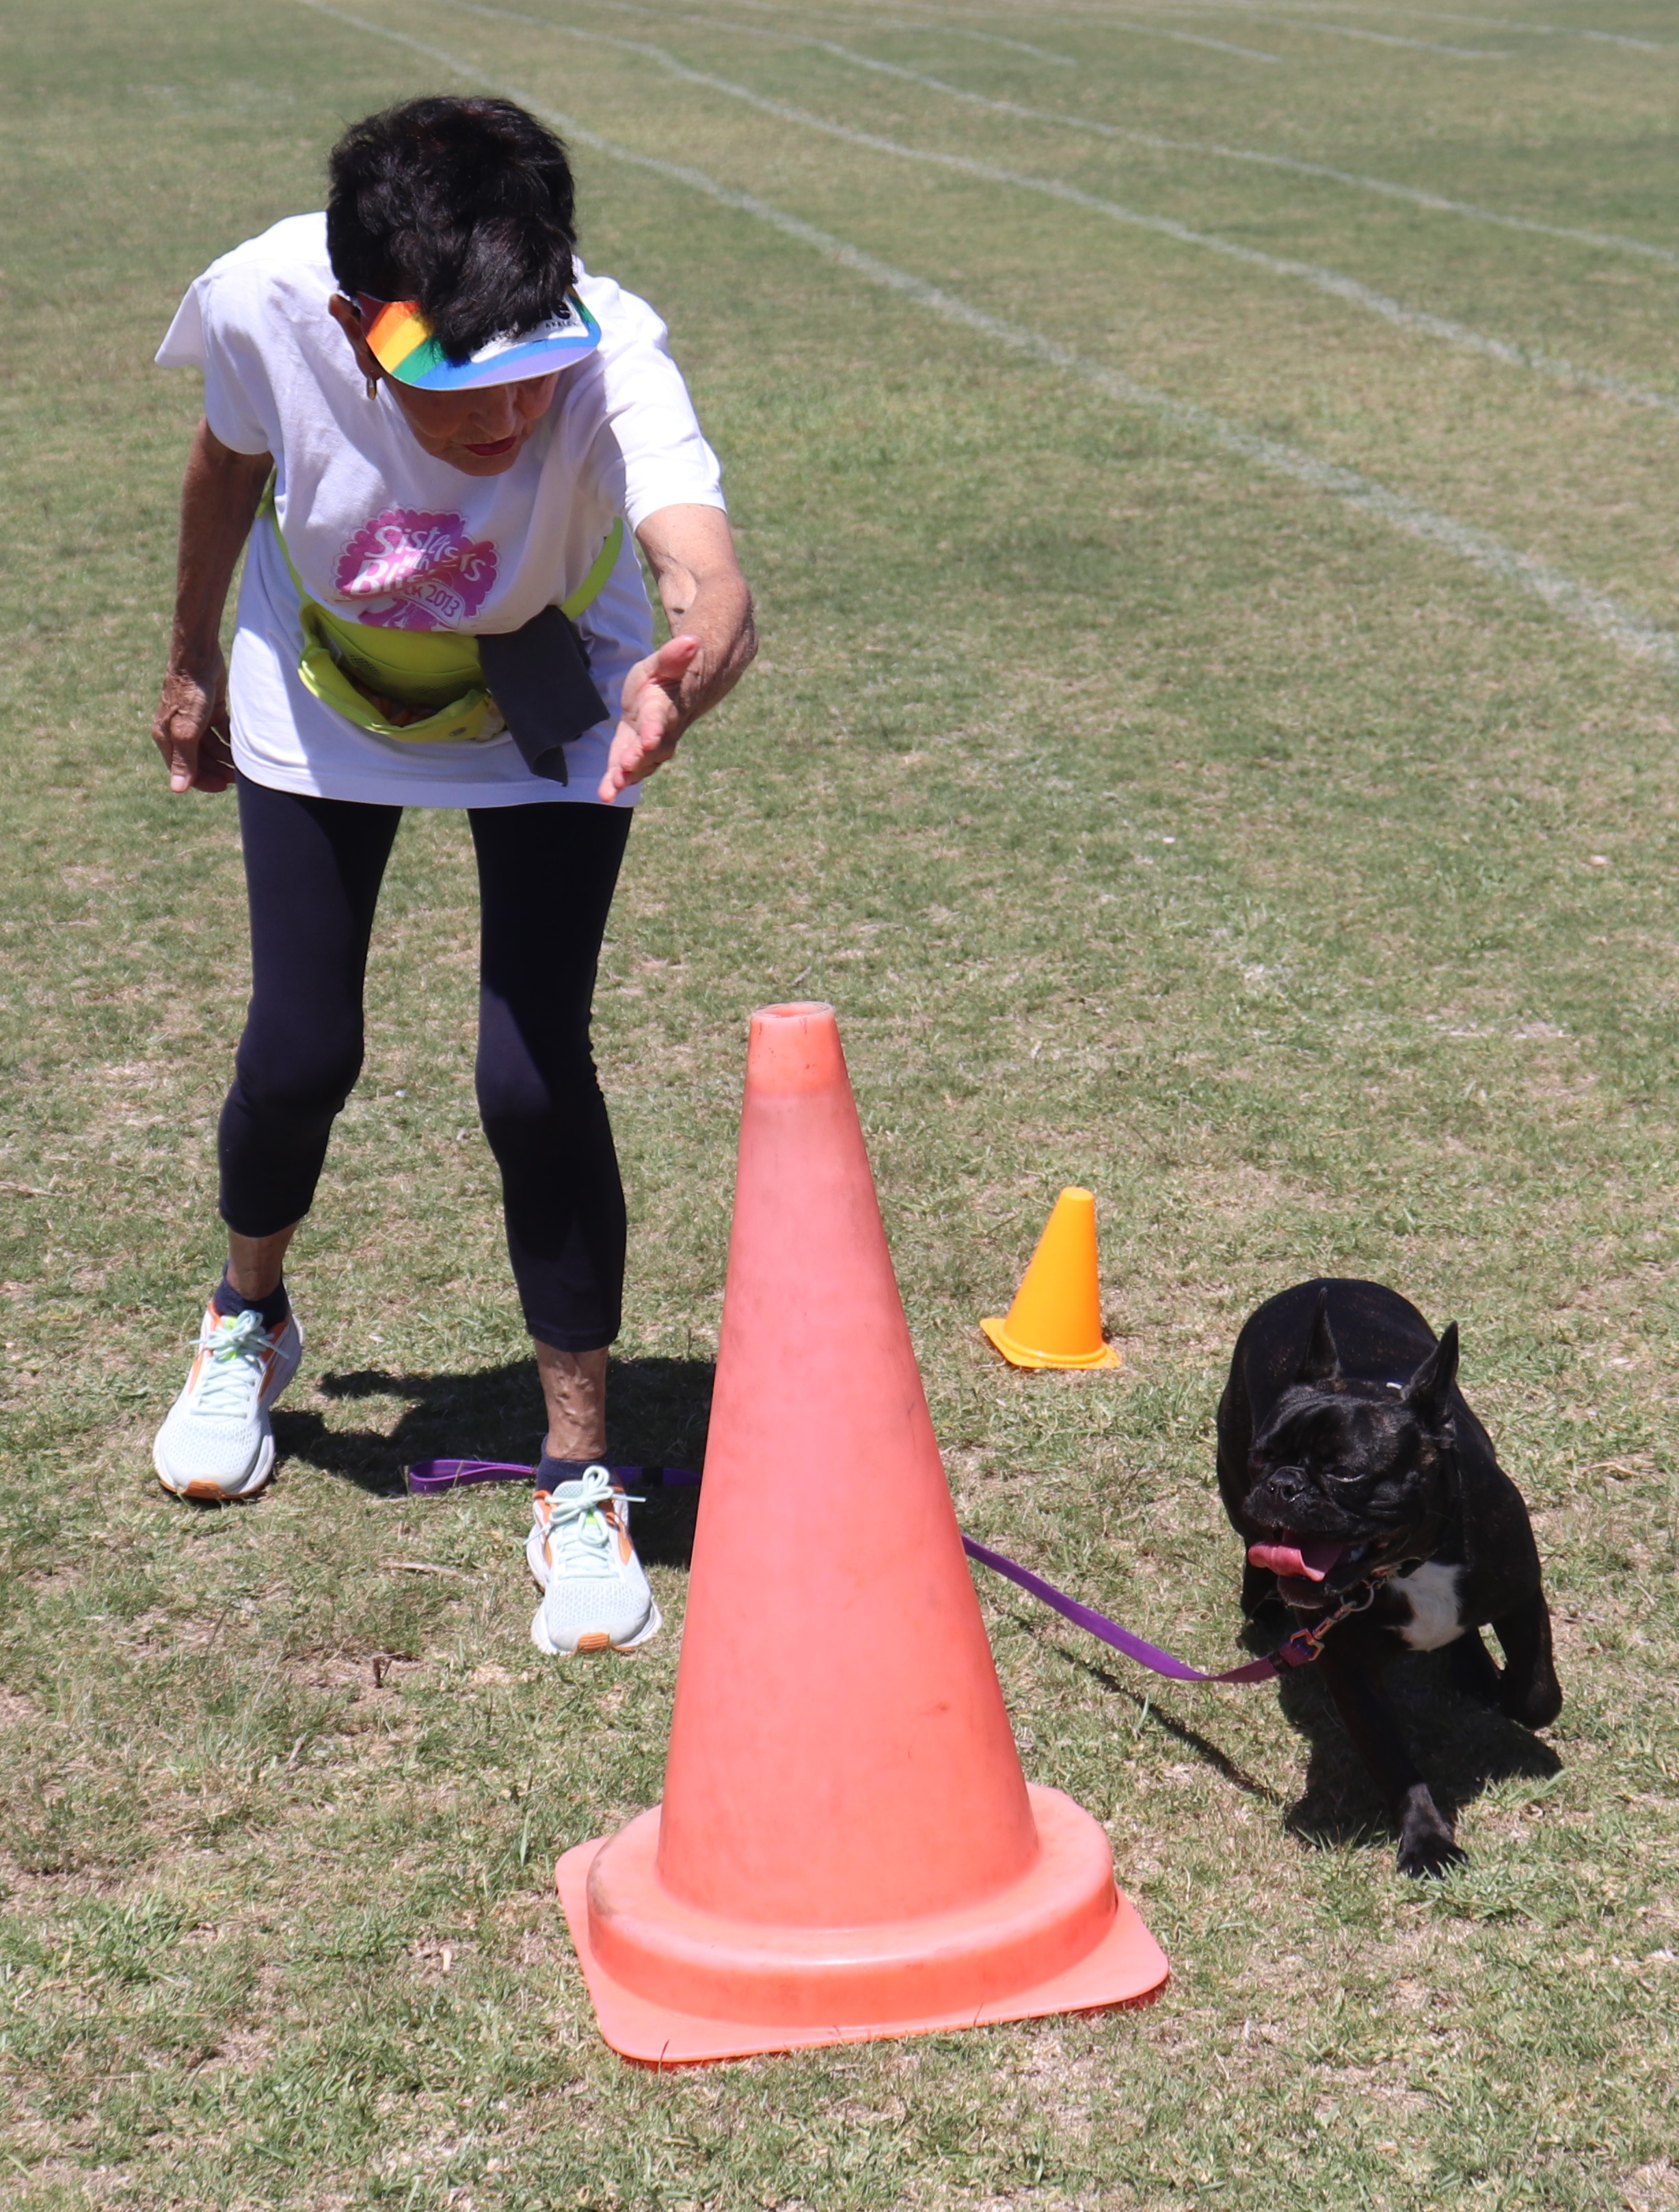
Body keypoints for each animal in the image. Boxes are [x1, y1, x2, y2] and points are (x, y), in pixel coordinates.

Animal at [1217, 1278, 1561, 1876]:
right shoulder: (1347, 1665)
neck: (1409, 1563)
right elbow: (1392, 1760)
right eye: (1263, 1456)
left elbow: (1538, 1693)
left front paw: (1502, 1691)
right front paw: (1427, 1839)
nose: (1283, 1484)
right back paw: (1262, 1606)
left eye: (1344, 1471)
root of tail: (1320, 1280)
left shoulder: (1521, 1595)